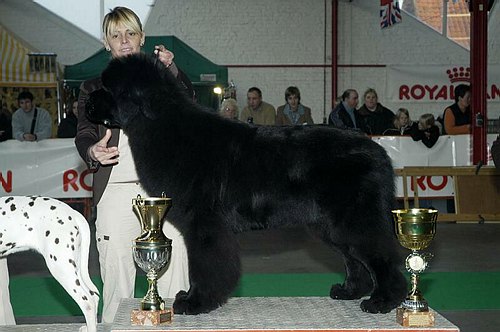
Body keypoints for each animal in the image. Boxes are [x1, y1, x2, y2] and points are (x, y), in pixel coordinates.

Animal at [87, 53, 406, 316]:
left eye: (108, 89)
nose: (87, 101)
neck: (162, 125)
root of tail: (379, 151)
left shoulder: (204, 223)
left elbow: (204, 265)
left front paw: (195, 302)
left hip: (353, 219)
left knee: (381, 254)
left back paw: (384, 300)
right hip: (330, 225)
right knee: (354, 258)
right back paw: (350, 290)